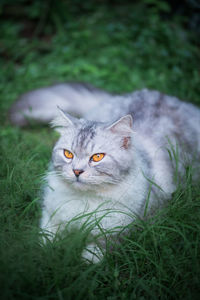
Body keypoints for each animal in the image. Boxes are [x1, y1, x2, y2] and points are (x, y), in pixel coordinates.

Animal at [9, 82, 200, 262]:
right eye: (68, 154)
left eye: (97, 157)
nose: (77, 171)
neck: (85, 201)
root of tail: (160, 95)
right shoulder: (51, 217)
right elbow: (45, 241)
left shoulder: (117, 231)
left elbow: (93, 255)